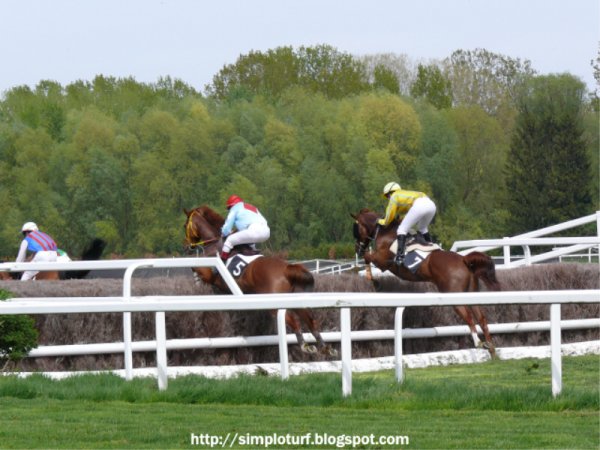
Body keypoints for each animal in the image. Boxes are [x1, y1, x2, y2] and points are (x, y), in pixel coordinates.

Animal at [182, 204, 338, 356]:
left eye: (184, 226)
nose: (186, 246)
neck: (214, 242)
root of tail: (287, 269)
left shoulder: (208, 272)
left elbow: (194, 268)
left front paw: (197, 282)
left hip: (275, 303)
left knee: (293, 320)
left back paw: (305, 346)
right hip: (296, 300)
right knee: (311, 321)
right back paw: (325, 347)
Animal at [352, 207, 502, 356]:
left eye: (356, 229)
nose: (357, 248)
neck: (386, 231)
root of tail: (464, 260)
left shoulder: (382, 261)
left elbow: (368, 257)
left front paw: (372, 278)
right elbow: (367, 257)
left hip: (454, 296)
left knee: (469, 317)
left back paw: (478, 343)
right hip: (471, 294)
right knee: (482, 319)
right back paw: (491, 348)